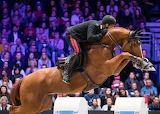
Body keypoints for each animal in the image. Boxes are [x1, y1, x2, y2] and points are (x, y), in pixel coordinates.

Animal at [9, 27, 155, 113]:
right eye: (135, 43)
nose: (143, 56)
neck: (102, 45)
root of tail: (23, 79)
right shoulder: (108, 67)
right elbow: (125, 54)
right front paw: (144, 63)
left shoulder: (114, 70)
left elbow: (125, 56)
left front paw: (145, 64)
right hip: (30, 104)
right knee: (13, 109)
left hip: (41, 104)